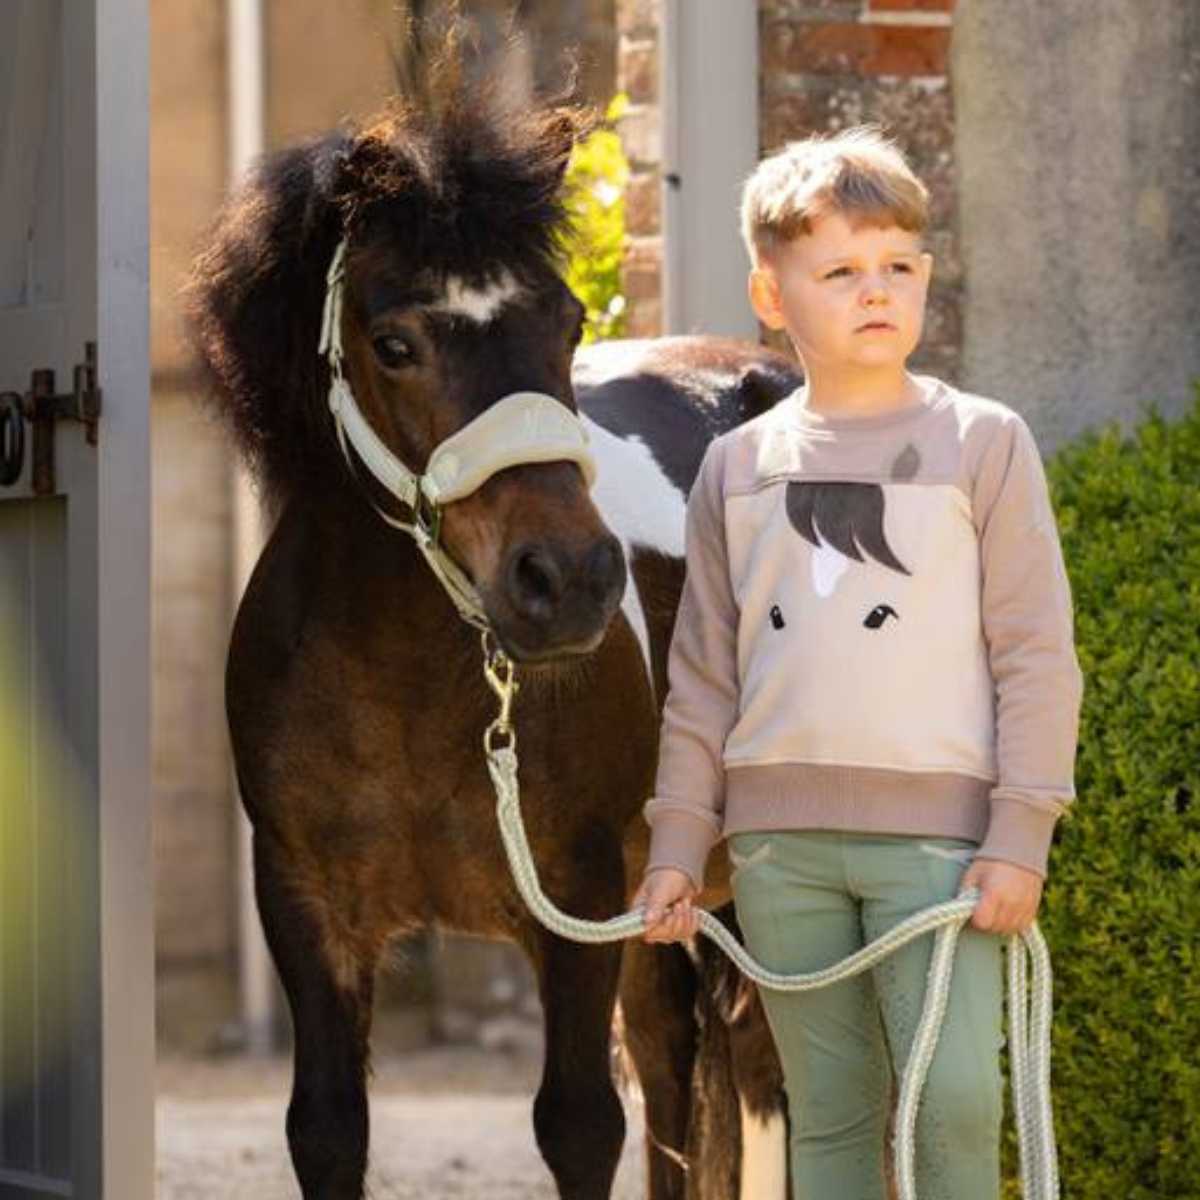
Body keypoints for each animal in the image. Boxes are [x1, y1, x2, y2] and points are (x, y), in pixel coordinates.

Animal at [185, 36, 798, 1200]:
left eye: (567, 320)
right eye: (393, 343)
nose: (572, 578)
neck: (403, 683)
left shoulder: (576, 900)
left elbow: (579, 1124)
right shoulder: (305, 909)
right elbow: (327, 1127)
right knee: (681, 1080)